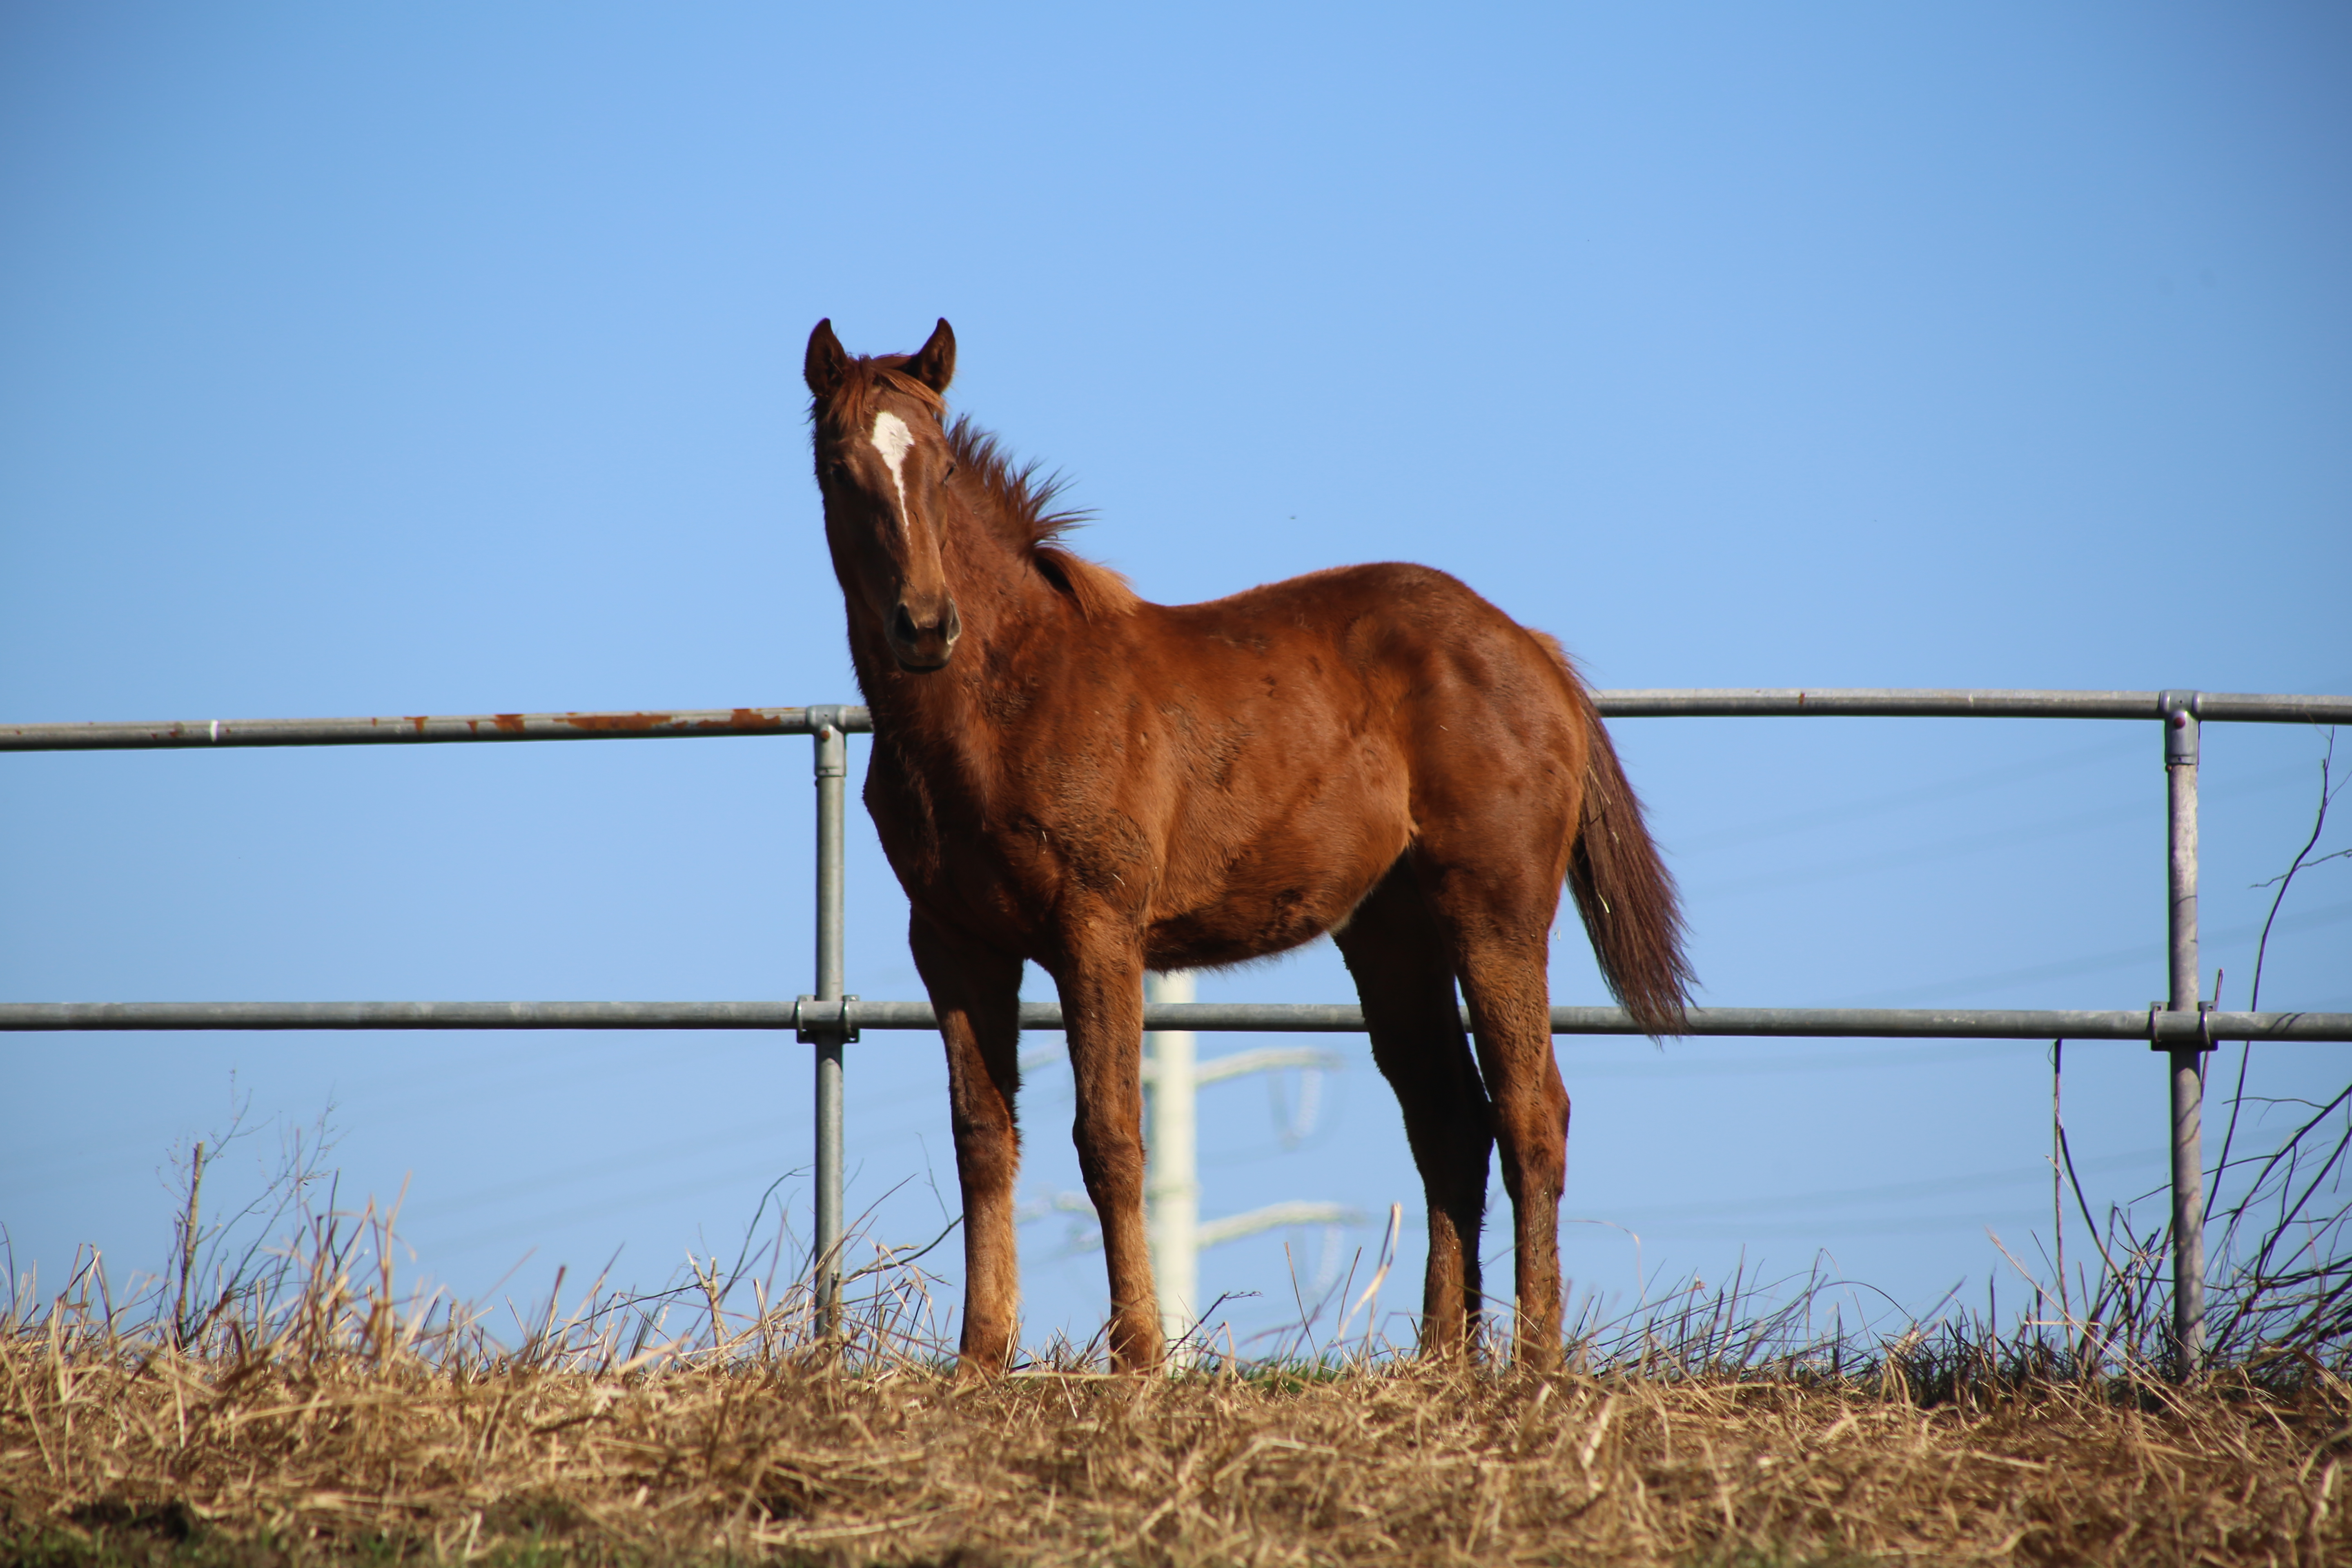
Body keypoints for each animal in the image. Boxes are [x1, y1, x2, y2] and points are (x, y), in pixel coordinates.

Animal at [809, 319, 1693, 1373]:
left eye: (941, 468)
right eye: (839, 467)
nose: (924, 627)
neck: (1004, 701)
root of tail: (1532, 650)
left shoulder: (1097, 929)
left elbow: (1110, 1138)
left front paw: (1139, 1357)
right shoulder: (952, 943)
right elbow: (983, 1134)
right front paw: (980, 1359)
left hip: (1495, 909)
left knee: (1530, 1114)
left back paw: (1536, 1365)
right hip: (1391, 935)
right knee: (1449, 1122)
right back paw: (1442, 1361)